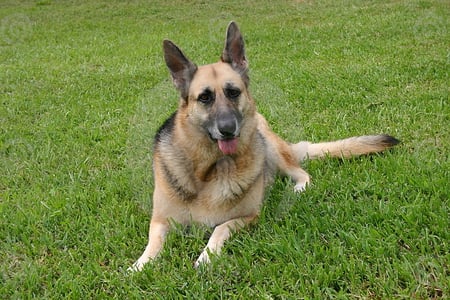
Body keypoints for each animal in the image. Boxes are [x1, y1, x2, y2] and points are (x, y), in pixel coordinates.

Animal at [128, 20, 400, 270]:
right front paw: (139, 265)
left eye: (233, 92)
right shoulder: (160, 221)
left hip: (272, 147)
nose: (228, 129)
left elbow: (219, 229)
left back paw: (297, 188)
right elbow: (153, 244)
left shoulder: (247, 217)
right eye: (204, 98)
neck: (210, 170)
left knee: (302, 173)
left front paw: (206, 257)